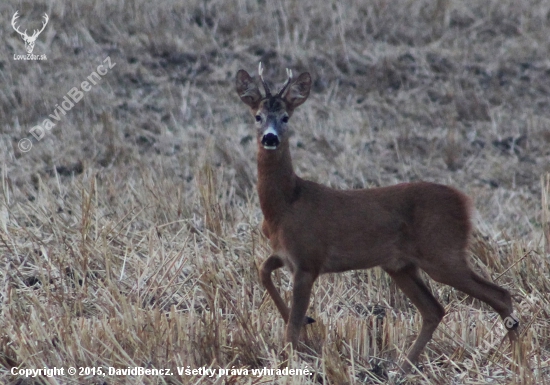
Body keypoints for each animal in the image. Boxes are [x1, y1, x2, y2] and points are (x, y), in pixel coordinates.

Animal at [235, 63, 520, 368]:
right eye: (258, 116)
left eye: (286, 117)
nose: (270, 138)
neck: (286, 205)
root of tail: (464, 202)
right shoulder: (287, 254)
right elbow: (263, 271)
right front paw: (303, 322)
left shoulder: (309, 259)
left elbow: (291, 328)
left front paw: (292, 354)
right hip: (401, 265)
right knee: (434, 309)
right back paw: (404, 367)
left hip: (443, 252)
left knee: (499, 294)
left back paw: (517, 359)